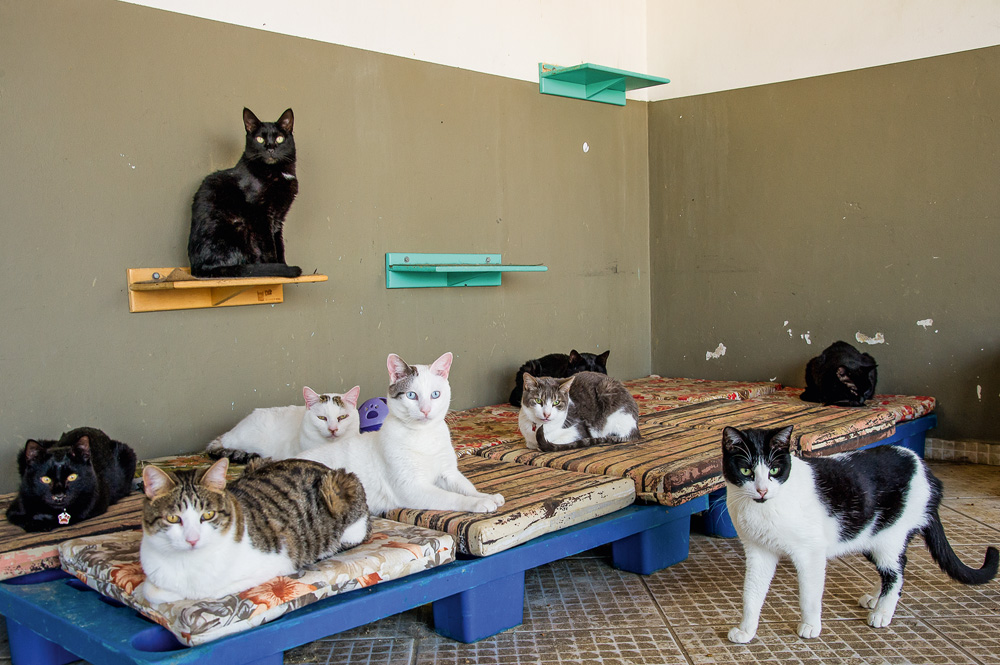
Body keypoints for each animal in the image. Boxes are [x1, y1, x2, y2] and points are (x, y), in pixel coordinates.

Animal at [141, 456, 372, 600]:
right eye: (173, 518)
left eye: (207, 515)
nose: (192, 539)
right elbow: (149, 590)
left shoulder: (276, 564)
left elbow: (207, 591)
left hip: (338, 489)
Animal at [188, 107, 302, 278]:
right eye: (259, 139)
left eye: (280, 138)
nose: (270, 147)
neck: (276, 172)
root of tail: (197, 268)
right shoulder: (260, 214)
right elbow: (269, 245)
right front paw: (279, 268)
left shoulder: (278, 216)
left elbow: (279, 243)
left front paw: (282, 264)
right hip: (238, 227)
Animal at [294, 352, 500, 512]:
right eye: (411, 395)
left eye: (435, 394)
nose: (425, 410)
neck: (424, 437)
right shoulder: (412, 488)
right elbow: (452, 497)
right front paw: (478, 503)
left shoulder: (448, 473)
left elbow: (466, 487)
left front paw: (485, 495)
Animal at [724, 426, 996, 644]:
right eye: (746, 471)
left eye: (775, 469)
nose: (762, 490)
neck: (764, 508)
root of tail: (927, 472)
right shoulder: (758, 551)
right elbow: (751, 593)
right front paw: (746, 630)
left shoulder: (810, 553)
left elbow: (809, 594)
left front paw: (811, 626)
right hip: (869, 534)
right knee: (892, 569)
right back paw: (877, 598)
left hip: (890, 535)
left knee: (897, 571)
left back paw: (882, 612)